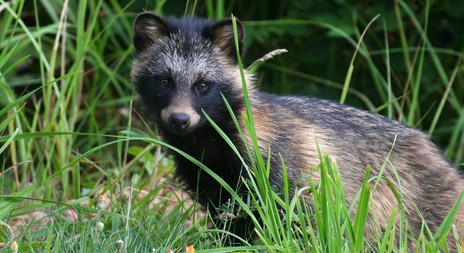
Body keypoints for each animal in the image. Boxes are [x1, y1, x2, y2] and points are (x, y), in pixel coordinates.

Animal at [131, 11, 464, 249]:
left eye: (202, 85)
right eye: (164, 81)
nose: (179, 119)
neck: (206, 141)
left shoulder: (284, 169)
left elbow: (299, 224)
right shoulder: (214, 182)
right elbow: (232, 228)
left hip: (419, 209)